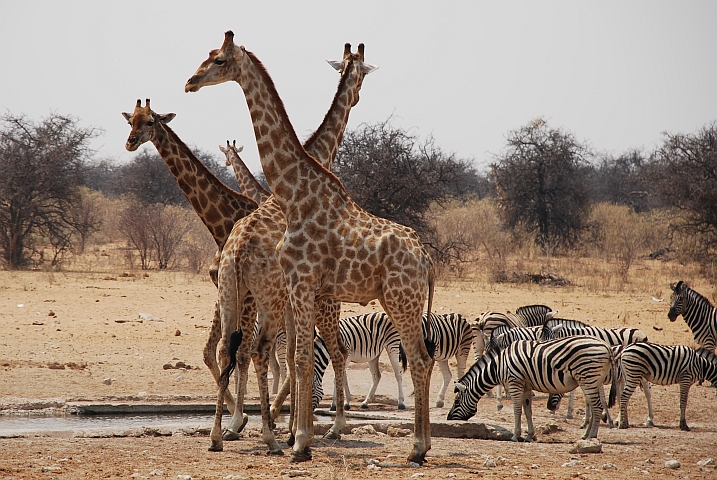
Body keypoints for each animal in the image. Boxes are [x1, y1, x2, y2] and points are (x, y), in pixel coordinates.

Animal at [448, 335, 617, 442]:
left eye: (456, 403)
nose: (449, 419)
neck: (499, 366)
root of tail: (607, 346)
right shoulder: (526, 386)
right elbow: (528, 411)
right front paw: (530, 436)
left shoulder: (514, 383)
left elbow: (517, 411)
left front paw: (515, 436)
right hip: (593, 380)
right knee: (594, 405)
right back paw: (586, 435)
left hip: (588, 377)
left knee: (597, 407)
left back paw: (592, 436)